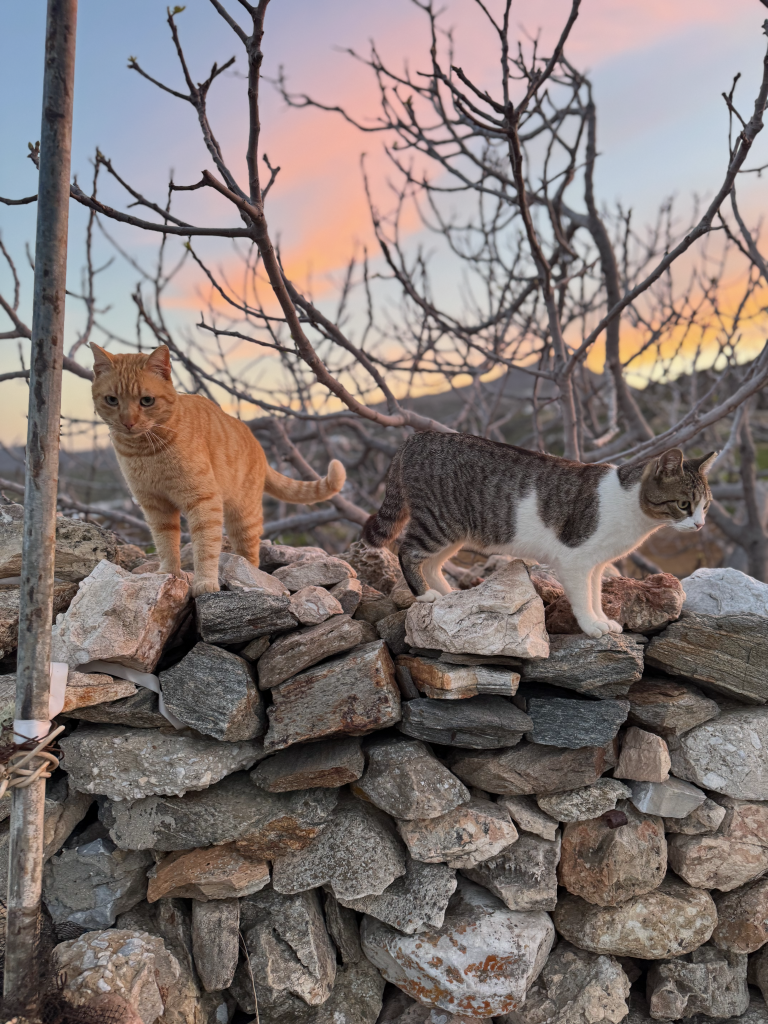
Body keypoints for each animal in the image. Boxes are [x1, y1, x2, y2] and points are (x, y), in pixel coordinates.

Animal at [90, 343, 346, 595]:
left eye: (146, 401)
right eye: (112, 400)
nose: (128, 423)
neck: (145, 451)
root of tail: (259, 447)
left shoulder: (203, 500)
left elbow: (205, 546)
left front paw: (204, 583)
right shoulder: (154, 505)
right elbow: (165, 542)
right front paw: (168, 573)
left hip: (243, 517)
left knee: (250, 555)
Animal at [362, 431, 715, 638]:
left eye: (706, 506)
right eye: (684, 505)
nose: (699, 525)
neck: (630, 503)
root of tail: (418, 436)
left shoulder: (596, 563)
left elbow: (595, 593)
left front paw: (602, 619)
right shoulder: (575, 559)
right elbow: (583, 597)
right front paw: (591, 626)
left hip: (455, 531)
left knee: (434, 563)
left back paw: (448, 595)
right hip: (439, 522)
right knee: (408, 551)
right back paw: (425, 595)